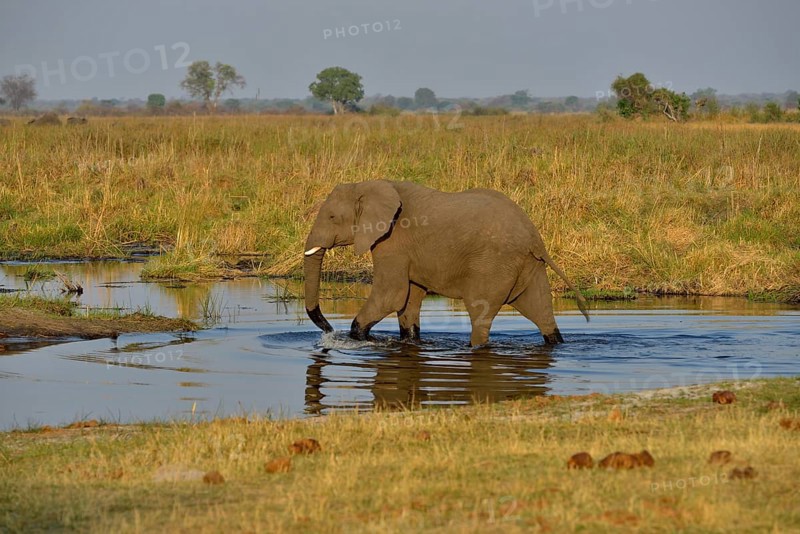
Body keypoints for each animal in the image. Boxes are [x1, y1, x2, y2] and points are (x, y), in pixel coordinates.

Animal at [303, 180, 589, 346]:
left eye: (332, 217)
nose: (329, 331)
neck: (369, 185)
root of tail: (535, 239)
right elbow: (409, 300)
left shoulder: (392, 241)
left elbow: (391, 295)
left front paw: (356, 337)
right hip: (529, 267)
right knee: (542, 312)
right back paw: (556, 342)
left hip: (493, 265)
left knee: (480, 315)